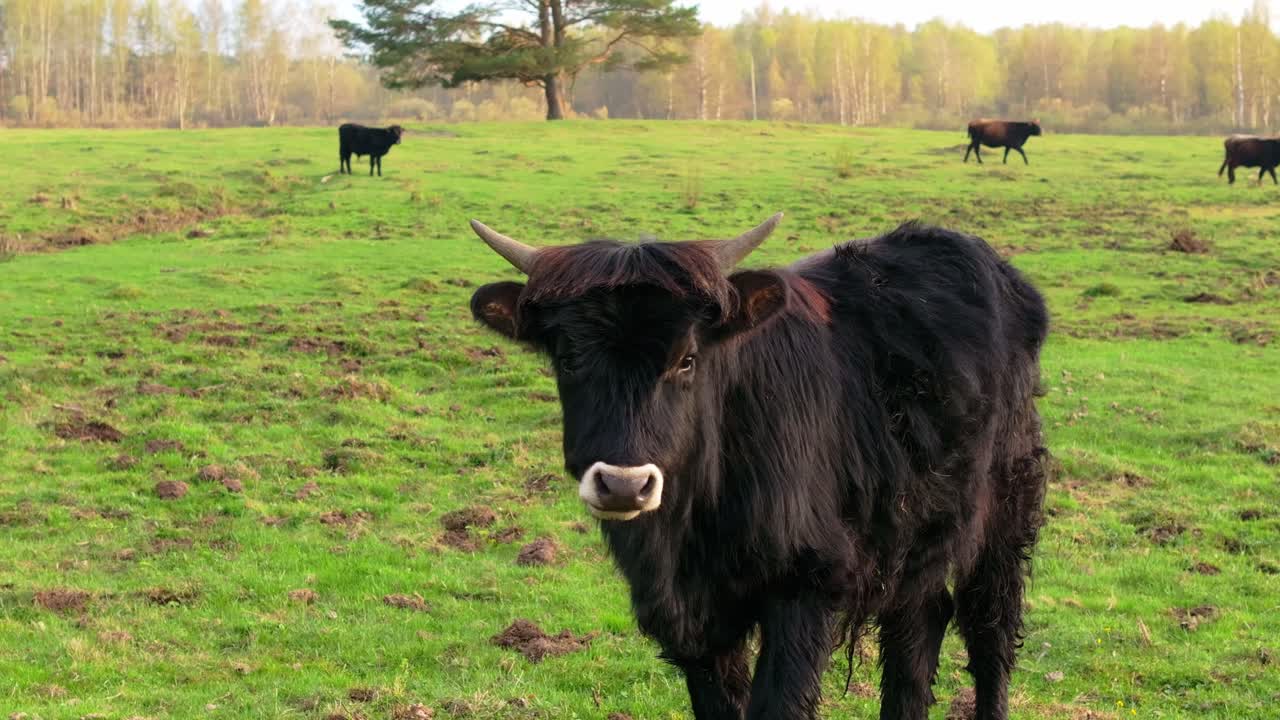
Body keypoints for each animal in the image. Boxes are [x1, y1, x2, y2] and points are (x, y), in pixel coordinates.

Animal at [468, 214, 1050, 720]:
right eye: (568, 359)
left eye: (687, 359)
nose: (624, 485)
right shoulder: (694, 623)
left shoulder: (805, 587)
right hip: (912, 529)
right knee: (919, 625)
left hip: (1004, 514)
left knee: (990, 632)